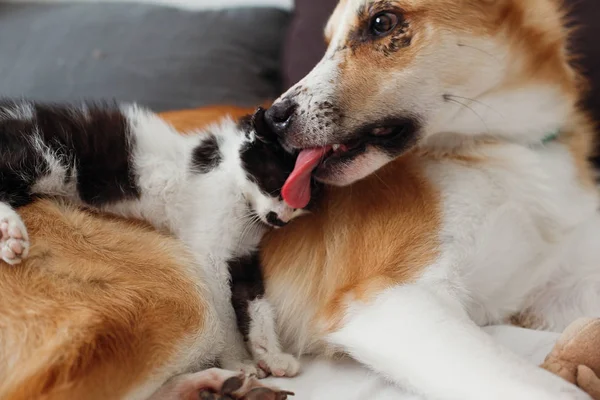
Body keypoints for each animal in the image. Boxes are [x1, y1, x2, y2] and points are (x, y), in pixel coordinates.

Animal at [0, 100, 308, 378]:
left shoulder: (242, 253)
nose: (281, 219)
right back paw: (9, 232)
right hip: (47, 157)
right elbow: (225, 311)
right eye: (278, 186)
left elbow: (255, 302)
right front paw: (237, 361)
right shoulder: (207, 251)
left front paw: (272, 355)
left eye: (304, 201)